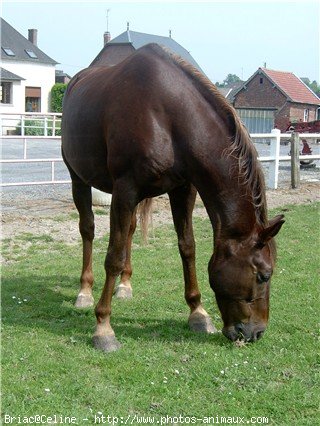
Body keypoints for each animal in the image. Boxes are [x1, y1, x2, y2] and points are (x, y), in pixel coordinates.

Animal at [61, 44, 284, 352]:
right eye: (264, 275)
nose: (256, 332)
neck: (167, 117)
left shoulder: (183, 189)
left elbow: (187, 247)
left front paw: (198, 313)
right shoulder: (125, 189)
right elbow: (113, 256)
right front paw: (103, 327)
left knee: (129, 231)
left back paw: (125, 286)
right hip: (79, 180)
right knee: (88, 230)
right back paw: (84, 291)